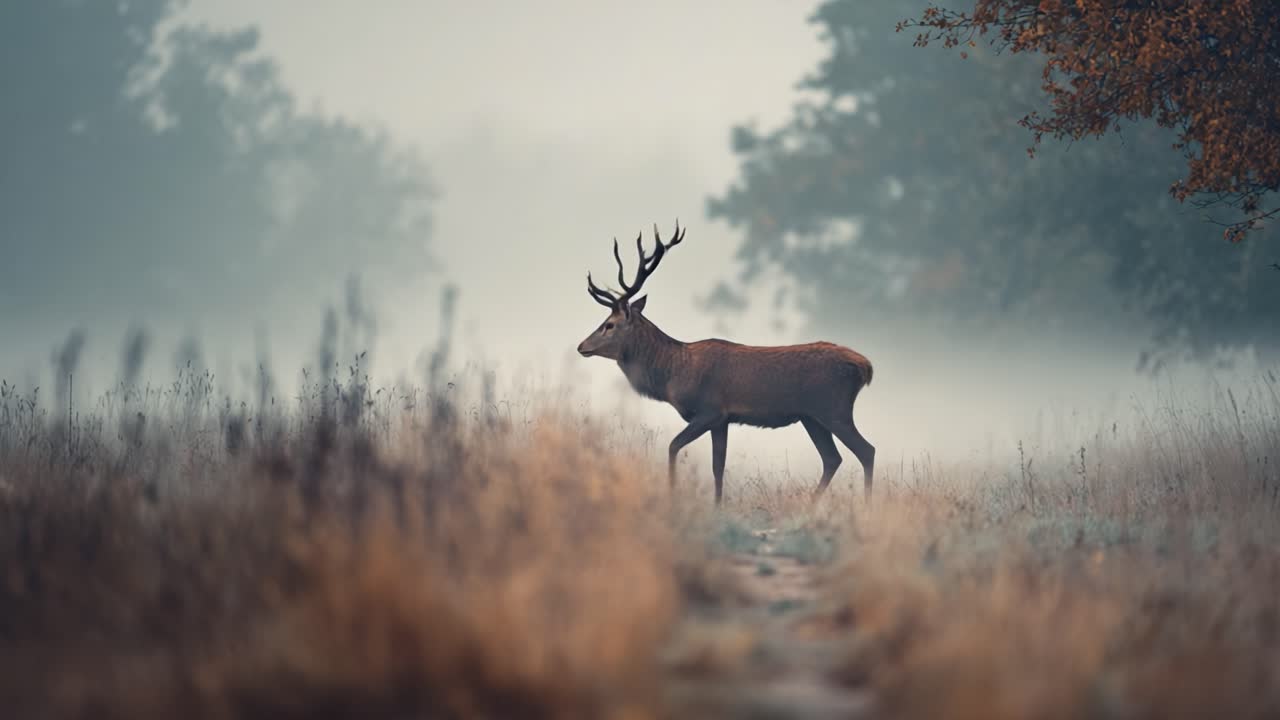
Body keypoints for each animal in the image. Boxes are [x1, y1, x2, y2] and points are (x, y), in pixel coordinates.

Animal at [577, 221, 876, 506]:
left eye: (609, 324)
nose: (582, 346)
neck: (674, 373)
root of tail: (865, 367)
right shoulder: (723, 420)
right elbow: (717, 466)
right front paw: (717, 506)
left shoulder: (710, 410)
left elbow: (674, 446)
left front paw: (673, 496)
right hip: (811, 417)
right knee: (832, 458)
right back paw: (811, 507)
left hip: (833, 409)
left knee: (866, 451)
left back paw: (865, 507)